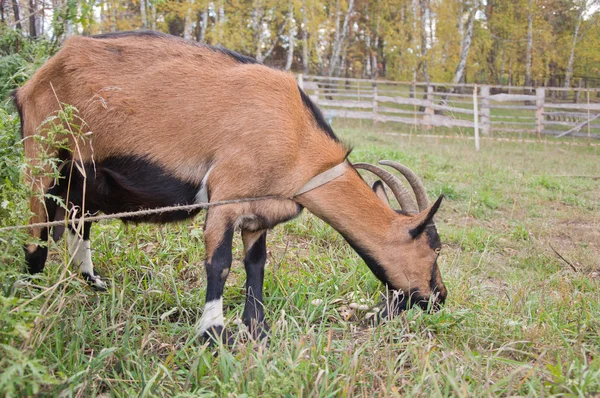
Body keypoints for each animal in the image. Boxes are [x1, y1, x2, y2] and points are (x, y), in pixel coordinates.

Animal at [12, 31, 446, 342]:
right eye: (434, 248)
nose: (440, 297)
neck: (298, 138)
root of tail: (35, 79)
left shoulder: (260, 213)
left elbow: (256, 266)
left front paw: (257, 329)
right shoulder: (225, 197)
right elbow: (219, 264)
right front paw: (213, 332)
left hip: (83, 176)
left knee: (77, 222)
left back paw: (91, 282)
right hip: (42, 151)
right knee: (37, 228)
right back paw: (27, 296)